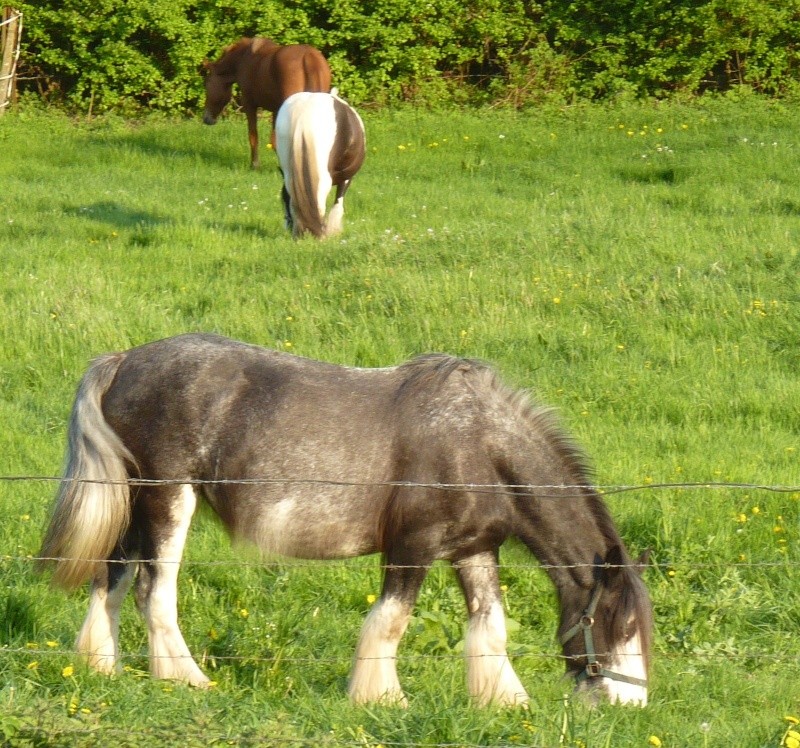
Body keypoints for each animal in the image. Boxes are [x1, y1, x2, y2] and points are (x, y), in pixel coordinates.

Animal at [39, 334, 648, 708]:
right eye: (621, 627)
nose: (631, 703)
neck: (478, 442)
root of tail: (125, 360)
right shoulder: (413, 546)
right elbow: (391, 621)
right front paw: (382, 697)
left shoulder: (475, 549)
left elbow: (490, 625)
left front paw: (505, 700)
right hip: (168, 499)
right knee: (153, 590)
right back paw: (188, 679)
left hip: (133, 507)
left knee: (111, 578)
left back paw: (101, 668)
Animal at [206, 37, 334, 169]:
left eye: (206, 85)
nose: (207, 119)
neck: (243, 59)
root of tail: (309, 56)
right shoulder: (276, 110)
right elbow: (274, 141)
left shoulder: (249, 105)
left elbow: (254, 136)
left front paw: (255, 164)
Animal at [274, 90, 364, 240]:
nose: (287, 226)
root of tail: (304, 111)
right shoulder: (347, 178)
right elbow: (338, 203)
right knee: (320, 196)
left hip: (289, 171)